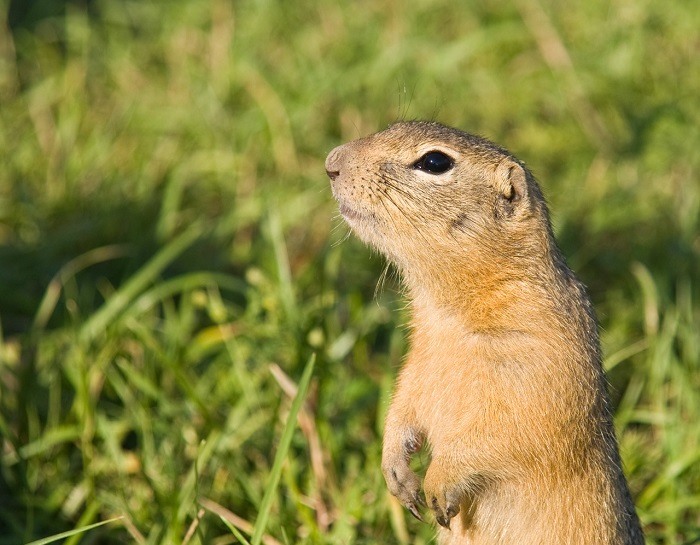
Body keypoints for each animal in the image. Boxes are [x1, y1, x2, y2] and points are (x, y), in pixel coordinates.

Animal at [326, 122, 644, 544]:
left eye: (435, 161)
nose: (331, 162)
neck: (447, 314)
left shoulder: (540, 365)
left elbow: (503, 433)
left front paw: (438, 483)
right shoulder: (418, 361)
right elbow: (403, 404)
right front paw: (396, 472)